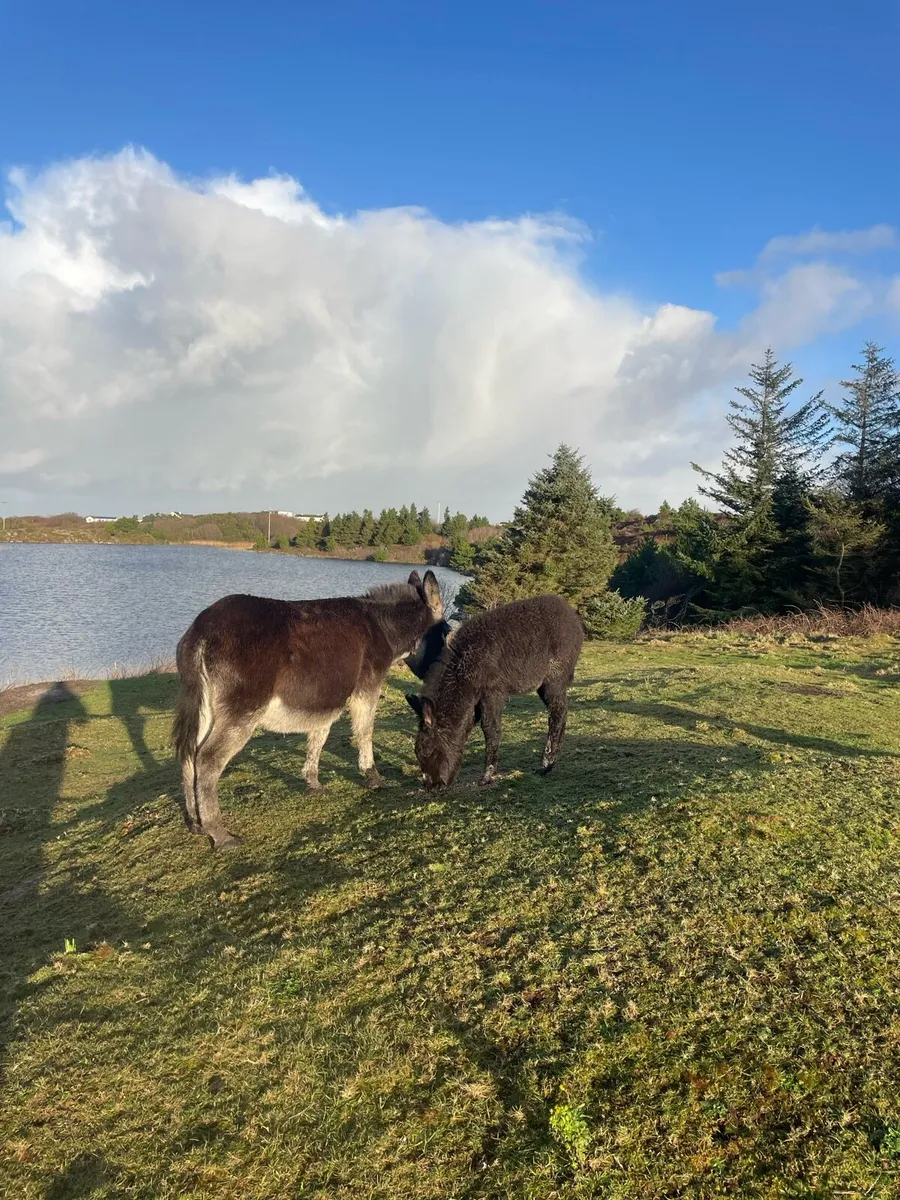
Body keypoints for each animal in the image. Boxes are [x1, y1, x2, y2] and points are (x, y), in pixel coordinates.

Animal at [173, 569, 444, 849]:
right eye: (445, 632)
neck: (382, 627)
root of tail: (202, 631)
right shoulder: (366, 688)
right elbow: (365, 731)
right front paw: (373, 778)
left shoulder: (324, 701)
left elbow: (318, 737)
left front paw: (313, 782)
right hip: (241, 713)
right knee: (208, 760)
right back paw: (219, 834)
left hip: (203, 707)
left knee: (189, 755)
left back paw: (196, 823)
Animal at [406, 594, 584, 788]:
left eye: (428, 752)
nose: (433, 786)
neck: (464, 669)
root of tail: (574, 620)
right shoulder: (474, 702)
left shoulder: (492, 692)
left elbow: (490, 729)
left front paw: (487, 776)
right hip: (544, 684)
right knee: (561, 710)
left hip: (554, 677)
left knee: (556, 712)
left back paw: (546, 764)